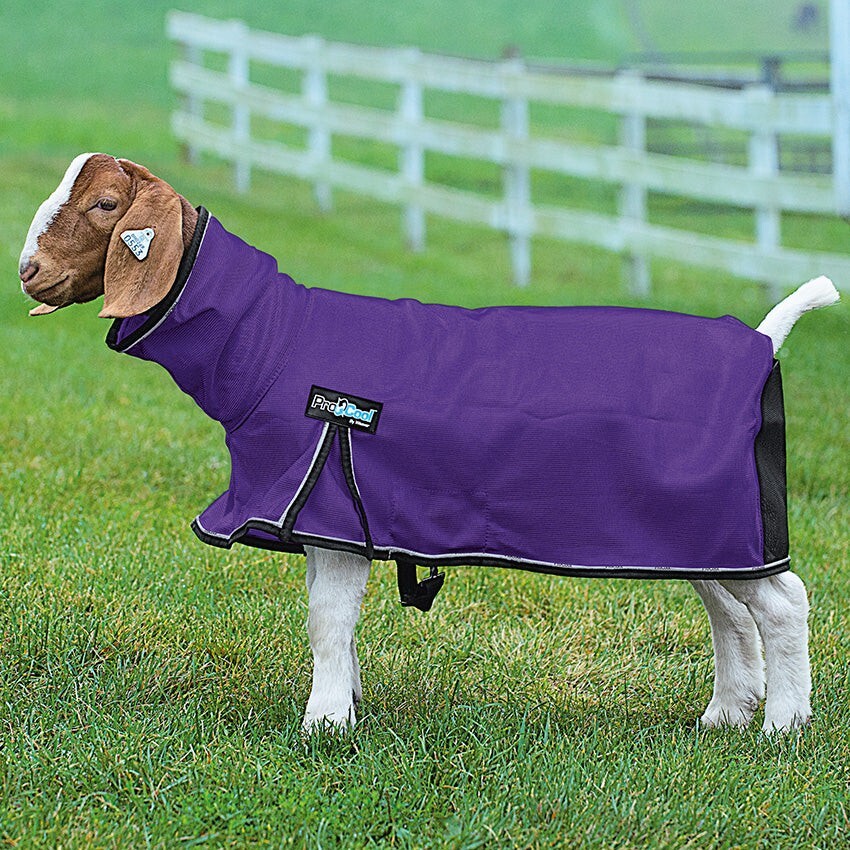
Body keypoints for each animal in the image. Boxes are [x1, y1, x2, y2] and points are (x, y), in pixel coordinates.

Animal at [19, 153, 840, 733]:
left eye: (104, 205)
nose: (28, 271)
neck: (269, 341)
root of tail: (762, 339)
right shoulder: (322, 516)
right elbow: (331, 620)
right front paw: (345, 706)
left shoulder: (329, 499)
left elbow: (327, 621)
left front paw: (322, 725)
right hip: (702, 524)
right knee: (730, 608)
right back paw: (726, 713)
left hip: (722, 515)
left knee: (783, 602)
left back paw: (784, 723)